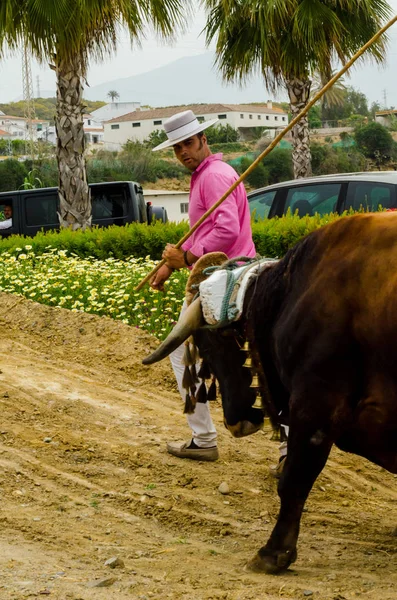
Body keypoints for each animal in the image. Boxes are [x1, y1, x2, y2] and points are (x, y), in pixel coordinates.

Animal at [143, 213, 396, 576]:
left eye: (208, 343)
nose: (237, 423)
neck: (290, 293)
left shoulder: (314, 405)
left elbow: (294, 478)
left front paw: (274, 553)